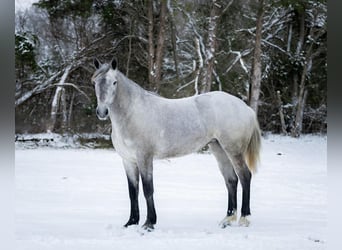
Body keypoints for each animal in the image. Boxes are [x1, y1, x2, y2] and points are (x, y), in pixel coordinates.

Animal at [91, 58, 262, 230]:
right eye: (95, 83)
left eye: (114, 82)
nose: (102, 112)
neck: (132, 113)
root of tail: (246, 108)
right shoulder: (128, 161)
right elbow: (133, 192)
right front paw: (131, 222)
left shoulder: (144, 158)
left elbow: (148, 189)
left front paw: (149, 223)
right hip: (218, 148)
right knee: (231, 180)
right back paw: (228, 218)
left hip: (233, 150)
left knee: (245, 176)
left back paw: (244, 218)